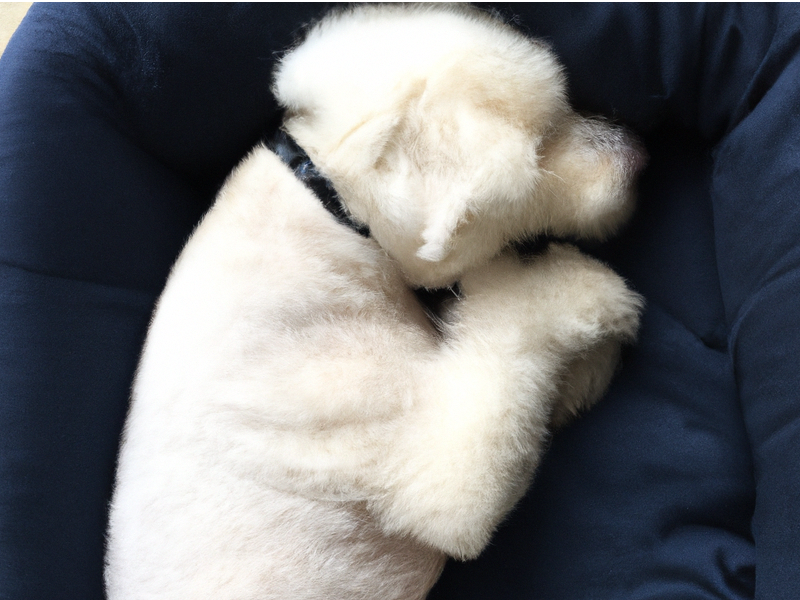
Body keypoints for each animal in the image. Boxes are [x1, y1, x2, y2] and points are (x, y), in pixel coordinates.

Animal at [104, 2, 644, 596]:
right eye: (543, 143)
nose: (642, 155)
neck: (330, 200)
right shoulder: (428, 472)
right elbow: (515, 340)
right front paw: (590, 299)